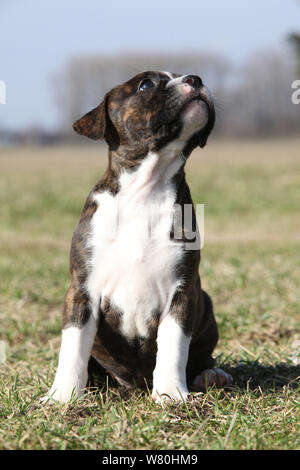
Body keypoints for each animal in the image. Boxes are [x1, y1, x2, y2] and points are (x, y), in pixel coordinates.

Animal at [41, 70, 232, 404]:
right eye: (146, 85)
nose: (195, 78)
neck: (147, 190)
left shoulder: (183, 293)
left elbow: (173, 346)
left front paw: (170, 393)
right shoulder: (81, 291)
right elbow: (73, 347)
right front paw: (62, 396)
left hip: (205, 303)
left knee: (200, 356)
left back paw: (211, 374)